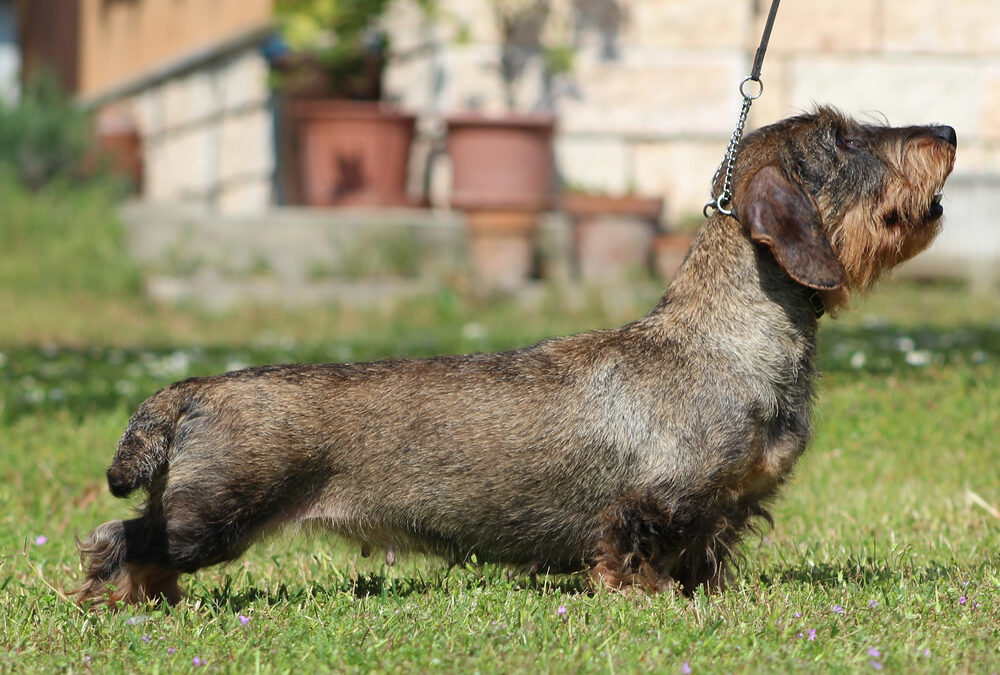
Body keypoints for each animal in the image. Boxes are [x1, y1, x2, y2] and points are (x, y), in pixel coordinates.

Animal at [76, 109, 952, 608]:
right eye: (842, 139)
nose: (946, 134)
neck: (722, 338)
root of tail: (192, 390)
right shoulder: (653, 502)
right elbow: (634, 552)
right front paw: (643, 600)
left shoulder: (725, 506)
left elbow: (707, 555)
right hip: (214, 517)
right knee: (125, 537)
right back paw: (120, 596)